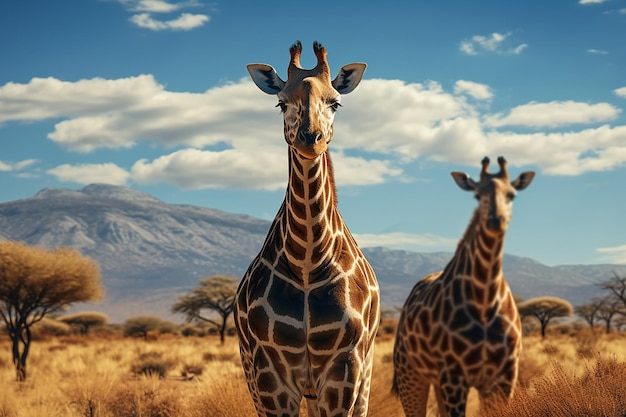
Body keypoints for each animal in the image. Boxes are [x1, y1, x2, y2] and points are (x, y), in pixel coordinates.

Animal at [234, 39, 380, 416]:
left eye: (335, 102)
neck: (308, 259)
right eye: (281, 102)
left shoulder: (344, 367)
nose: (309, 139)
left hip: (364, 374)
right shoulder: (270, 373)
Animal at [390, 156, 532, 416]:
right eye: (477, 195)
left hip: (435, 380)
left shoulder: (504, 377)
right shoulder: (453, 375)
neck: (485, 302)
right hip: (410, 373)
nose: (496, 221)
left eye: (512, 195)